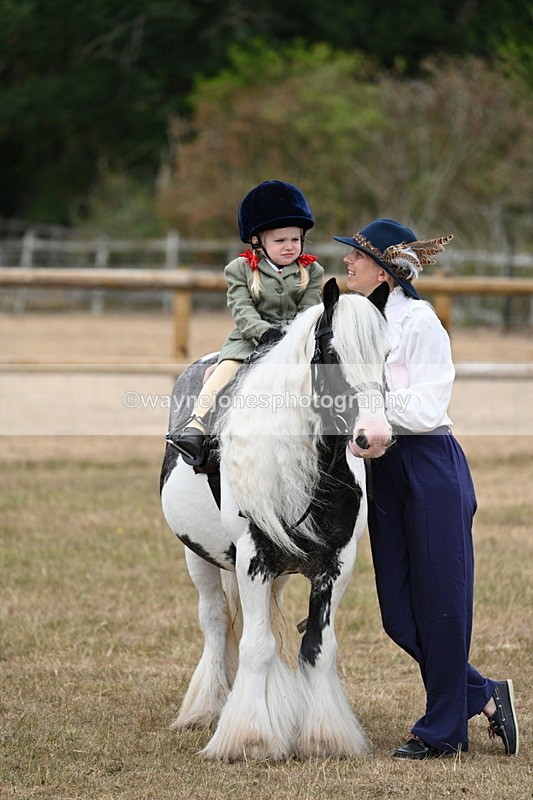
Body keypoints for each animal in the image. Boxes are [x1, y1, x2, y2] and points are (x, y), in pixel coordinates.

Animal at [160, 278, 392, 761]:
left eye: (387, 353)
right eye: (331, 353)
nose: (374, 436)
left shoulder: (336, 564)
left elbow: (317, 646)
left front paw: (323, 738)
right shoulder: (253, 558)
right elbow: (256, 645)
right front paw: (250, 738)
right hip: (200, 559)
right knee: (215, 622)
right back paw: (207, 709)